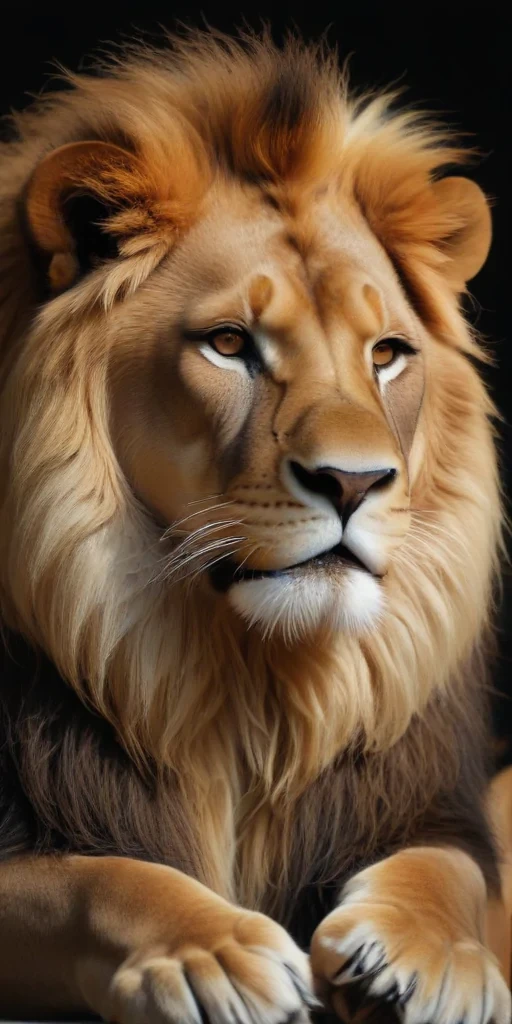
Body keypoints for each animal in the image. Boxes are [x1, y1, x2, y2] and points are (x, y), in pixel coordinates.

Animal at [0, 29, 509, 1024]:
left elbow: (451, 868)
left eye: (387, 354)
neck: (249, 690)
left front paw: (432, 951)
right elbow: (92, 877)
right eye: (230, 344)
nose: (355, 481)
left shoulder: (434, 804)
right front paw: (212, 954)